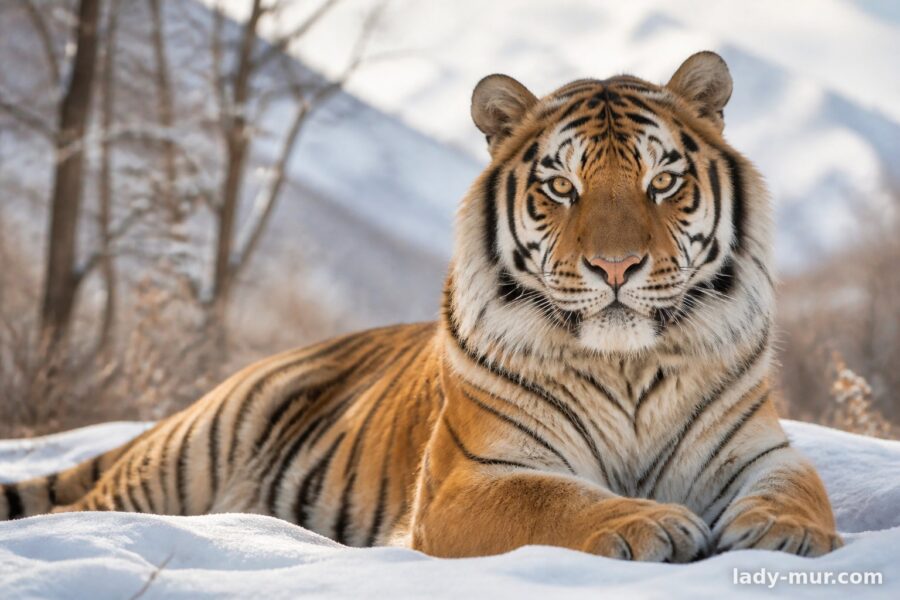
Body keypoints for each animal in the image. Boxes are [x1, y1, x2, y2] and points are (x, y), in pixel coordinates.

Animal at [1, 51, 841, 561]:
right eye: (560, 186)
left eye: (662, 182)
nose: (614, 266)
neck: (627, 366)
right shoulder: (473, 479)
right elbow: (557, 502)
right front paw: (648, 521)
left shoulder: (758, 451)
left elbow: (801, 490)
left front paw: (783, 535)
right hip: (193, 450)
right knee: (89, 508)